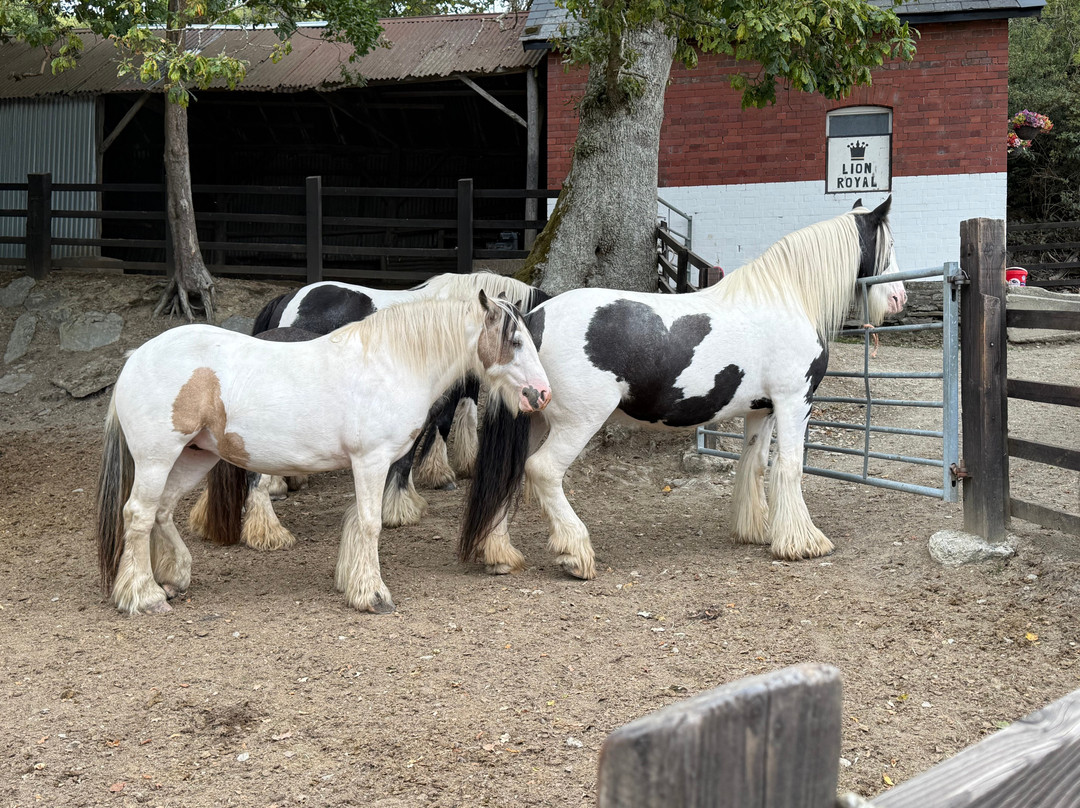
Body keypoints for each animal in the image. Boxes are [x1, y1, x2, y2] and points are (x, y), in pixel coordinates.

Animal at [457, 198, 906, 578]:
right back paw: (574, 552)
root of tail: (535, 319)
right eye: (888, 243)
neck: (785, 299)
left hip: (532, 418)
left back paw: (499, 555)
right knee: (543, 471)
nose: (900, 297)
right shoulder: (794, 402)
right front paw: (803, 542)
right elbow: (790, 467)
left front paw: (755, 531)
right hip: (577, 423)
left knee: (510, 473)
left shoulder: (762, 409)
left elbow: (754, 465)